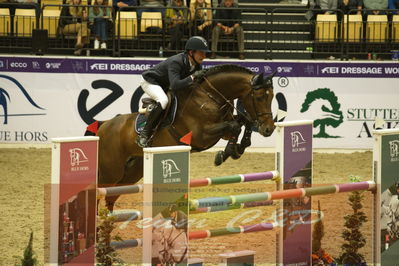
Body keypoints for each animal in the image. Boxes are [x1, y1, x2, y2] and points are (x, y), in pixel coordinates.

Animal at [90, 64, 276, 210]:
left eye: (272, 97)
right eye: (260, 97)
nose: (269, 129)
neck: (211, 96)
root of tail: (104, 126)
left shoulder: (223, 130)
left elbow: (242, 122)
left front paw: (235, 150)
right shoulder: (201, 135)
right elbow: (235, 126)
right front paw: (226, 153)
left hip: (131, 173)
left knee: (110, 198)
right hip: (111, 172)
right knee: (99, 192)